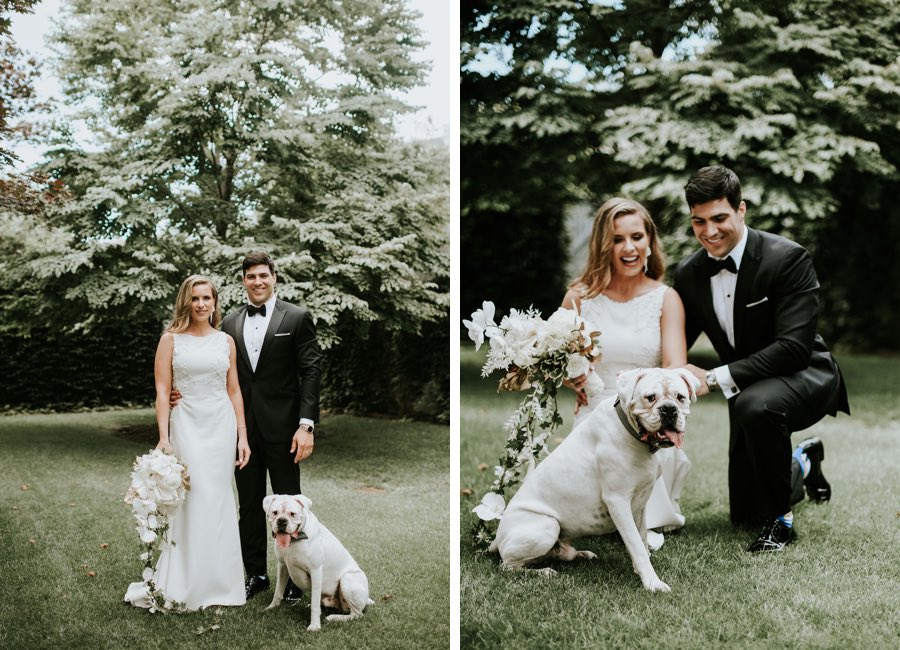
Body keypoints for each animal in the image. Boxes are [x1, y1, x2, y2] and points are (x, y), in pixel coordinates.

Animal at [264, 492, 372, 628]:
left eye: (292, 514)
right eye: (275, 512)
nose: (282, 521)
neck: (295, 540)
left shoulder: (315, 571)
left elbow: (315, 606)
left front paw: (314, 626)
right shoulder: (282, 566)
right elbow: (278, 591)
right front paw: (272, 607)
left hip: (348, 579)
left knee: (356, 614)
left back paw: (335, 617)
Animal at [488, 368, 700, 588]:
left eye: (680, 397)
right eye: (650, 398)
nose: (669, 409)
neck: (630, 429)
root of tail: (497, 539)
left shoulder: (640, 502)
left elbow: (641, 538)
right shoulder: (618, 501)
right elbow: (635, 543)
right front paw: (652, 582)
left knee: (556, 554)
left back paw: (579, 554)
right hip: (547, 525)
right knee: (508, 565)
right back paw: (544, 572)